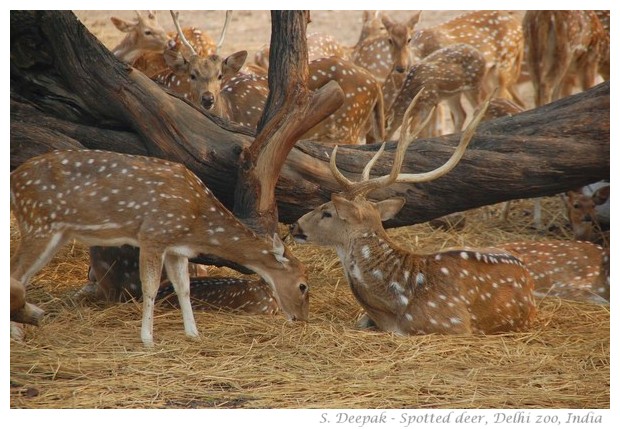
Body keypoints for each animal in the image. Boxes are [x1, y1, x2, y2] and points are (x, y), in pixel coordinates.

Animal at [9, 149, 310, 346]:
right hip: (38, 223)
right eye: (303, 285)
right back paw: (17, 332)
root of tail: (13, 180)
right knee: (15, 274)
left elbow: (183, 288)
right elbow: (151, 287)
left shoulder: (177, 248)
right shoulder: (153, 234)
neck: (196, 220)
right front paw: (147, 339)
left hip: (56, 232)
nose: (301, 319)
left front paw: (193, 333)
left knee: (21, 277)